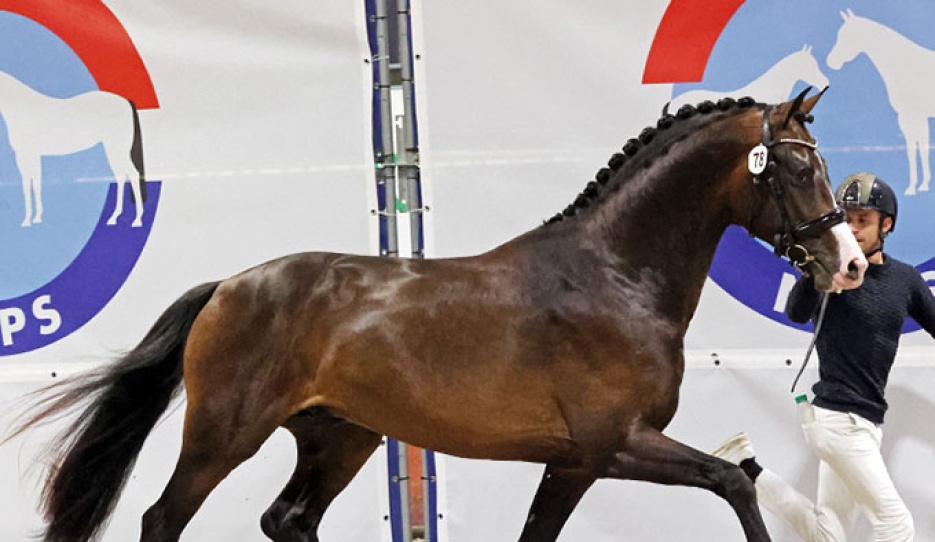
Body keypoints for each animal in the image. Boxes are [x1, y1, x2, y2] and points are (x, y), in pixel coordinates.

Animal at [0, 70, 146, 227]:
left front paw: (27, 220)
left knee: (132, 174)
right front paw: (37, 217)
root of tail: (126, 102)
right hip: (115, 150)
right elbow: (36, 182)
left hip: (117, 149)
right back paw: (114, 217)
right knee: (121, 175)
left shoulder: (25, 154)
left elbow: (27, 183)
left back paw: (137, 219)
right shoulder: (33, 155)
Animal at [3, 89, 867, 542]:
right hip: (225, 433)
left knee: (289, 520)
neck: (615, 277)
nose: (849, 265)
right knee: (162, 519)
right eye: (796, 166)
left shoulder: (577, 460)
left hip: (339, 438)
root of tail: (230, 285)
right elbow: (732, 482)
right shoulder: (609, 445)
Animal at [827, 9, 935, 196]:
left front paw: (916, 186)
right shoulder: (916, 117)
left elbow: (916, 149)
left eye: (847, 36)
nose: (831, 62)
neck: (908, 65)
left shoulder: (912, 116)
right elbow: (920, 148)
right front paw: (921, 184)